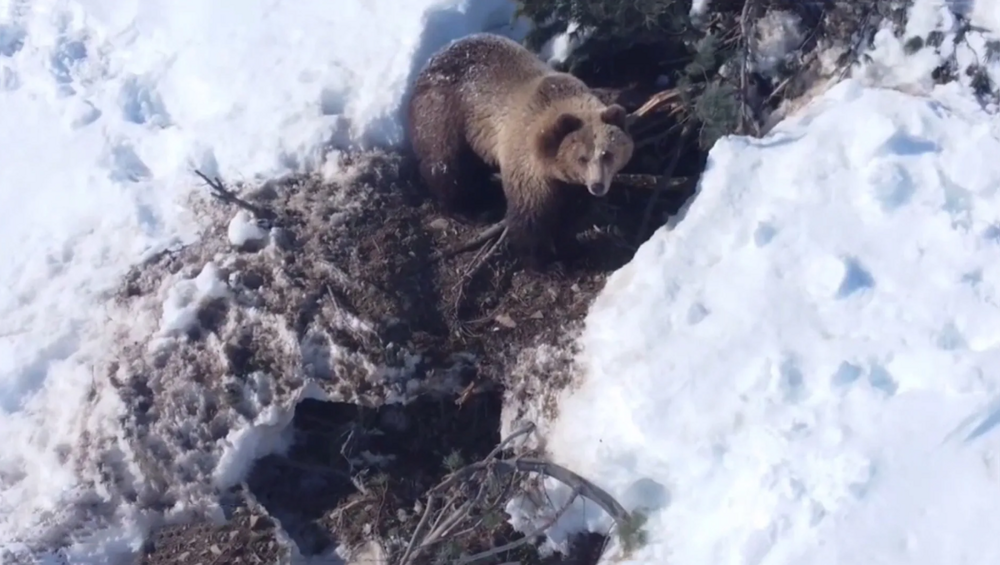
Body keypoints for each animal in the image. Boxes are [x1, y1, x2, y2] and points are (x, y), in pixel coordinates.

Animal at [404, 31, 632, 268]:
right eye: (582, 157)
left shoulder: (569, 183)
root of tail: (428, 63)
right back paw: (466, 208)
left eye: (607, 154)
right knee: (447, 166)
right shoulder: (526, 163)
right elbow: (530, 216)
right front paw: (540, 257)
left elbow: (570, 213)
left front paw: (570, 246)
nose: (597, 186)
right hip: (445, 116)